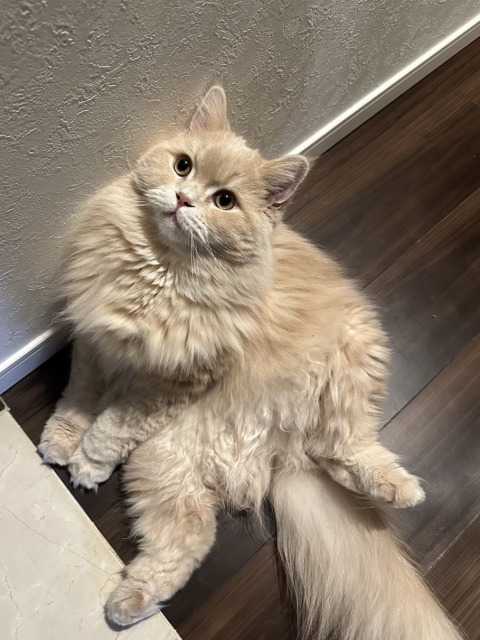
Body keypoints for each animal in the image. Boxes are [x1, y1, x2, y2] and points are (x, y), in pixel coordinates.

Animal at [39, 87, 461, 639]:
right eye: (182, 166)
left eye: (225, 201)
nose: (184, 199)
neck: (160, 278)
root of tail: (280, 453)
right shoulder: (94, 344)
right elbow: (79, 400)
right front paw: (61, 443)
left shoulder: (176, 382)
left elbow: (111, 425)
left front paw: (88, 458)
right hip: (166, 460)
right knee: (193, 536)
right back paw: (129, 603)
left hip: (349, 373)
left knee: (349, 448)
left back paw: (403, 490)